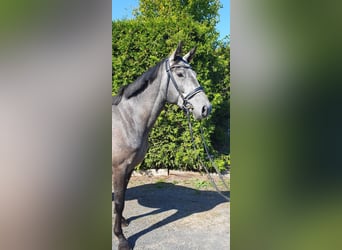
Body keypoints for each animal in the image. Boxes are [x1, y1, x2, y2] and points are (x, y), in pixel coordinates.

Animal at [112, 42, 211, 249]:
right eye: (180, 74)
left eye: (195, 74)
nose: (206, 108)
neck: (127, 119)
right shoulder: (119, 168)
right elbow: (118, 202)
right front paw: (121, 239)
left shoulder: (129, 168)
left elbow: (121, 199)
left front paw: (122, 222)